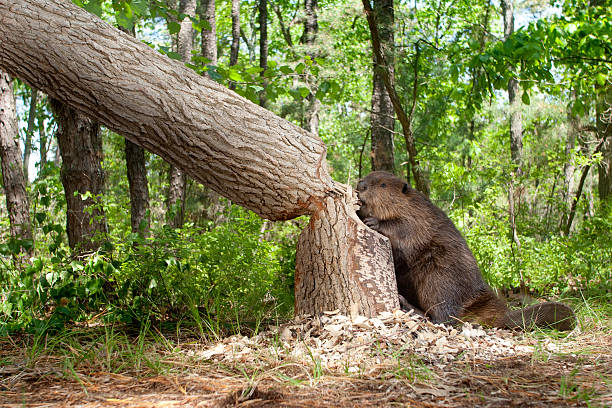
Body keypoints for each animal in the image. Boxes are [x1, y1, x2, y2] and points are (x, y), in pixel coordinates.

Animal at [356, 171, 576, 330]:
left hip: (439, 277)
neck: (410, 204)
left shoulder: (418, 218)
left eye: (383, 185)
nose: (360, 185)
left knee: (445, 318)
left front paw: (373, 221)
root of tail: (501, 315)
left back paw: (409, 307)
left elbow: (403, 229)